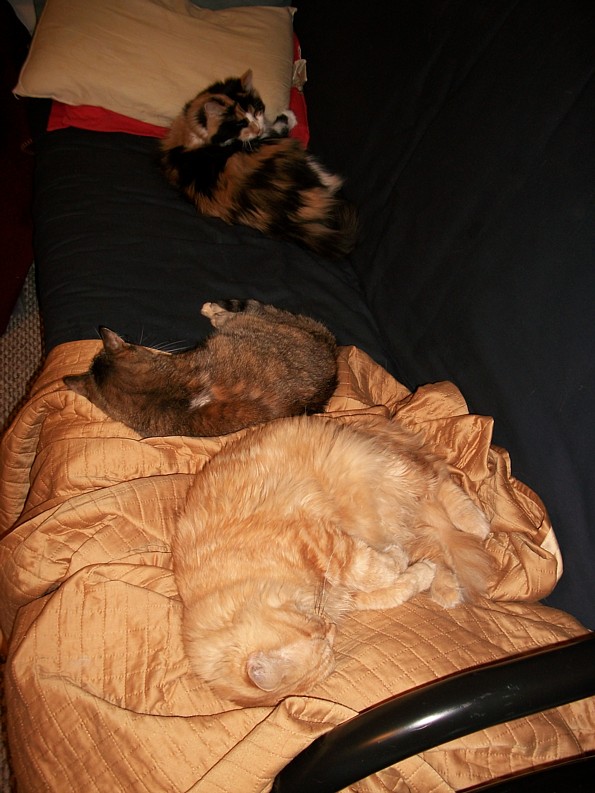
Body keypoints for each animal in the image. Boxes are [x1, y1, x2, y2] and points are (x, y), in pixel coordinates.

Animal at [160, 69, 357, 260]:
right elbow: (278, 128)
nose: (258, 128)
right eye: (241, 124)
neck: (193, 127)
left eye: (256, 111)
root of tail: (287, 220)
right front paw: (289, 116)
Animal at [173, 413, 494, 706]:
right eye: (324, 642)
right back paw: (445, 587)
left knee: (439, 484)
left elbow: (368, 568)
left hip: (384, 468)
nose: (330, 629)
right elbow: (393, 589)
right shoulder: (347, 593)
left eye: (314, 632)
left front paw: (396, 559)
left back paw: (476, 523)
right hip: (400, 514)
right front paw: (416, 573)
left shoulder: (318, 541)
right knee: (436, 543)